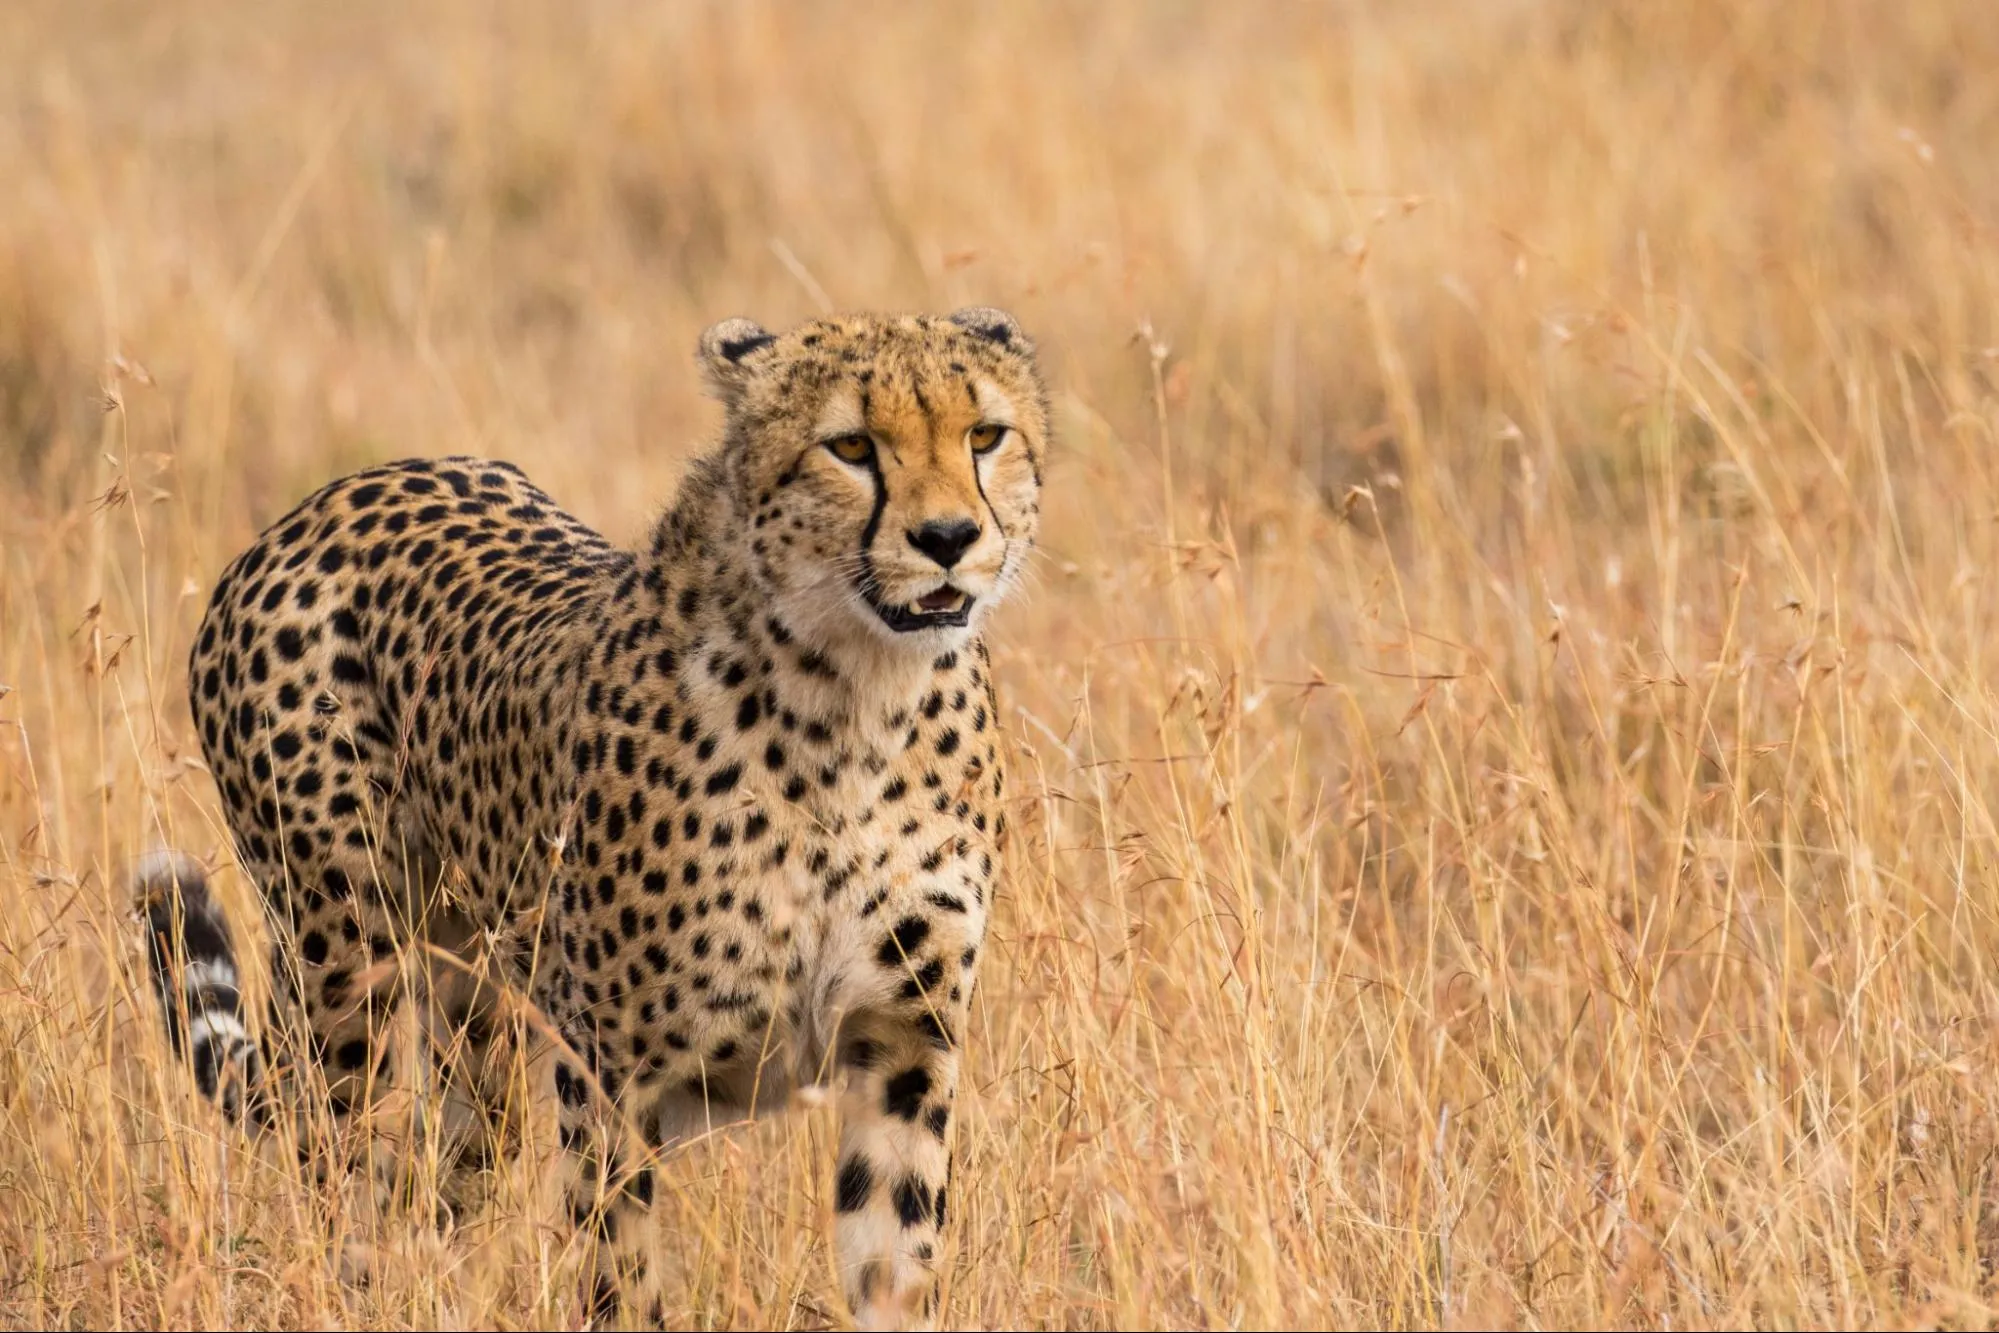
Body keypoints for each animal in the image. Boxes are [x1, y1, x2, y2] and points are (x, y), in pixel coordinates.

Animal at [140, 307, 1047, 1327]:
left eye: (985, 435)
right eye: (850, 446)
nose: (949, 536)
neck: (855, 696)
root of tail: (334, 496)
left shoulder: (902, 1045)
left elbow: (891, 1258)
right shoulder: (610, 1069)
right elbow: (623, 1270)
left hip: (477, 1014)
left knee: (439, 1175)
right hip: (343, 967)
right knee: (344, 1165)